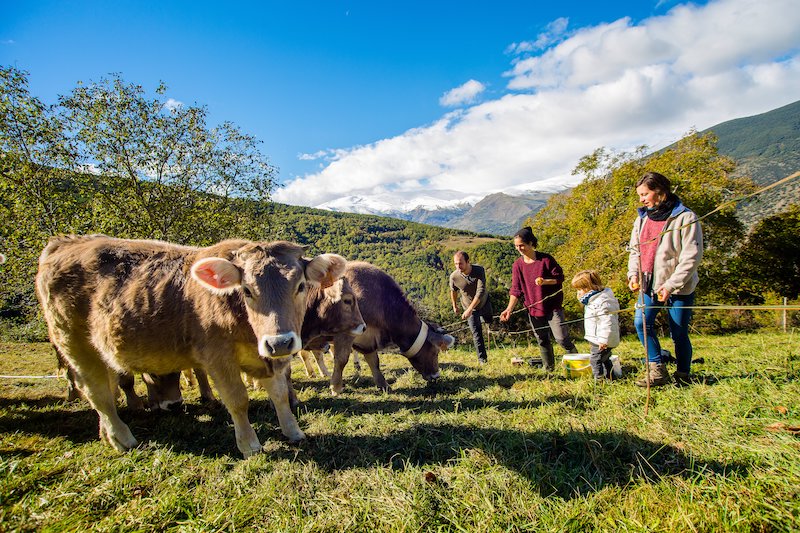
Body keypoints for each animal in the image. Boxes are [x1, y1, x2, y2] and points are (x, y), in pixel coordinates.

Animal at [36, 234, 346, 458]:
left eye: (300, 286)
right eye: (247, 290)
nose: (279, 341)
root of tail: (65, 242)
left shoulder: (267, 358)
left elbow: (280, 394)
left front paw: (293, 432)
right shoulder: (217, 357)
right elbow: (238, 400)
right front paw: (249, 444)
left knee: (107, 390)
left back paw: (107, 435)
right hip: (74, 344)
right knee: (97, 393)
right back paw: (123, 438)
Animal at [324, 262, 454, 394]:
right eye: (435, 352)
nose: (436, 375)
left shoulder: (368, 340)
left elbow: (374, 361)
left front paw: (383, 385)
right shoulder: (345, 333)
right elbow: (341, 359)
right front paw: (335, 387)